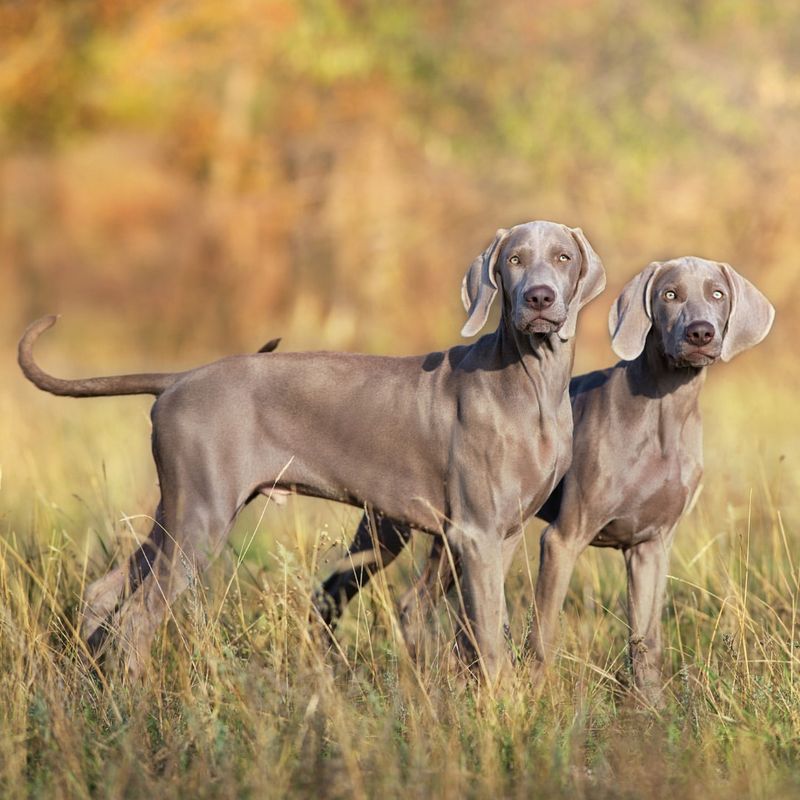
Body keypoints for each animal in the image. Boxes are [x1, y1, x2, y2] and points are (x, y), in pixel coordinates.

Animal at [17, 220, 608, 680]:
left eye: (563, 257)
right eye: (514, 260)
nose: (539, 298)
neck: (532, 383)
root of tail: (179, 378)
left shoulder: (501, 536)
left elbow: (479, 628)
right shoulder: (476, 533)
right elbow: (486, 634)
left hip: (179, 513)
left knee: (105, 591)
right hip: (201, 522)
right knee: (136, 618)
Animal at [314, 255, 776, 700]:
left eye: (717, 294)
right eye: (670, 294)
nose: (701, 333)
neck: (665, 412)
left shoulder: (652, 545)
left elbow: (647, 640)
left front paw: (653, 709)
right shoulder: (563, 538)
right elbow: (544, 630)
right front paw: (537, 698)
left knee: (417, 603)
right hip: (391, 528)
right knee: (343, 589)